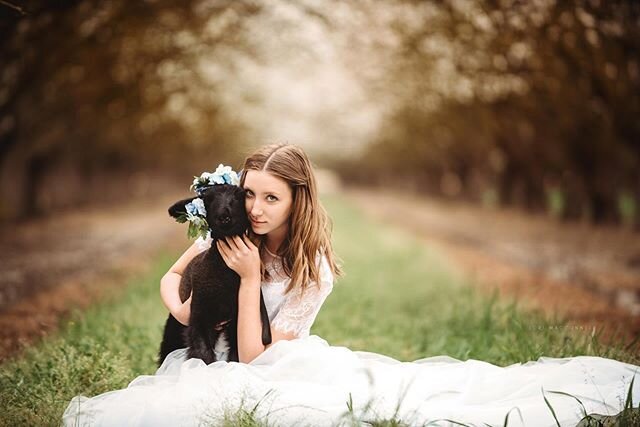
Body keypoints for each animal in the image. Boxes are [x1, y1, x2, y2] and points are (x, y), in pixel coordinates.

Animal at [160, 183, 272, 364]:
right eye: (207, 199)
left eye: (240, 196)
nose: (224, 216)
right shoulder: (199, 319)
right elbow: (203, 356)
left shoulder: (236, 325)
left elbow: (235, 358)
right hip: (175, 327)